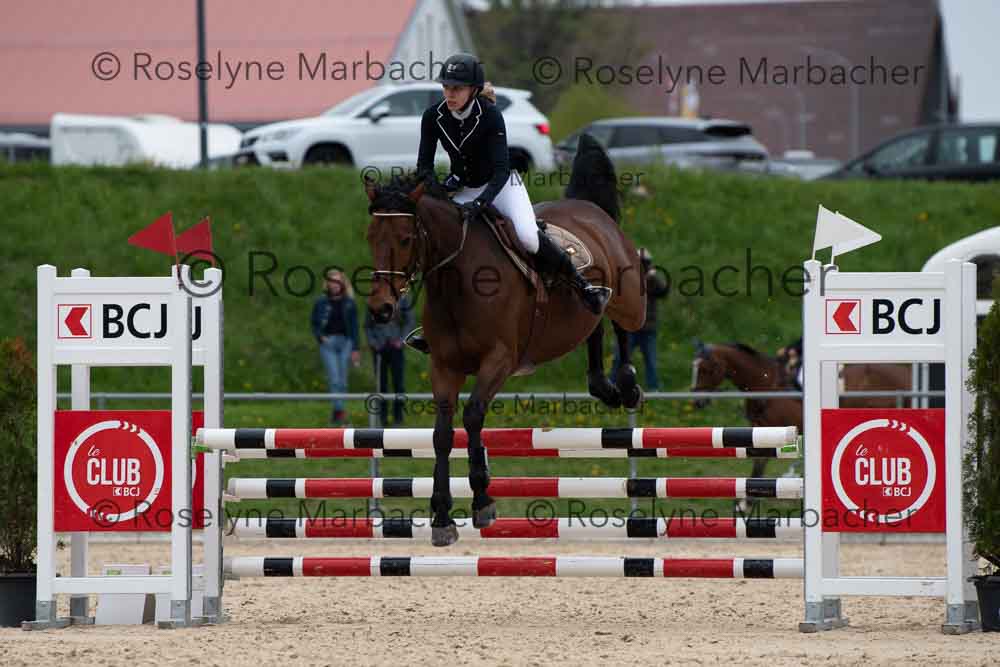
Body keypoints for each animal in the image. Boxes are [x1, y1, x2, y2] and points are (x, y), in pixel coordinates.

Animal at [364, 135, 646, 546]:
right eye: (370, 238)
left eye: (405, 238)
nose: (381, 308)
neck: (457, 280)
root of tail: (588, 207)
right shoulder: (444, 366)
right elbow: (442, 435)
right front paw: (442, 517)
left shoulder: (498, 361)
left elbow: (473, 416)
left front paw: (482, 499)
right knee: (594, 328)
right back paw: (603, 386)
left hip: (629, 296)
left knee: (623, 324)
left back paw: (626, 384)